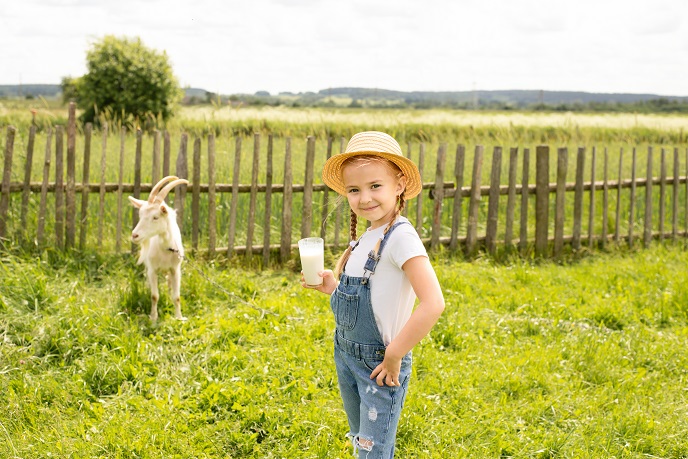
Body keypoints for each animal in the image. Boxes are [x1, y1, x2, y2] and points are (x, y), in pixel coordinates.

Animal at [127, 176, 188, 324]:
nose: (135, 235)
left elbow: (177, 296)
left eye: (155, 217)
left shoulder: (175, 269)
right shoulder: (152, 269)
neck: (166, 248)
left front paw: (179, 317)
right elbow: (154, 295)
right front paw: (153, 318)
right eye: (140, 215)